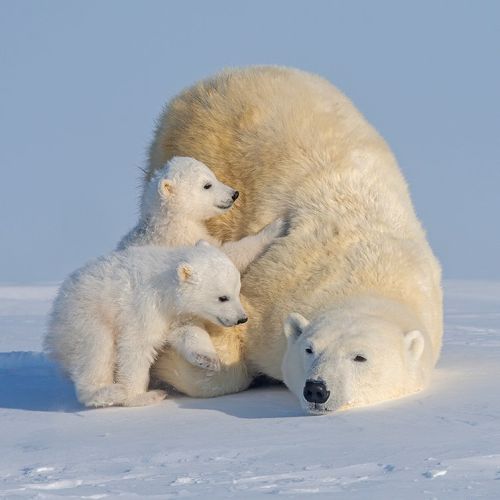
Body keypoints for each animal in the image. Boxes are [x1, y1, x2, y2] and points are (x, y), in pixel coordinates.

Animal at [44, 240, 247, 408]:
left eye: (237, 290)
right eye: (223, 297)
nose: (242, 318)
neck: (165, 290)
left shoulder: (176, 314)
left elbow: (188, 332)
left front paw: (209, 360)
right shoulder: (143, 309)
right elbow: (136, 347)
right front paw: (138, 396)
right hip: (87, 316)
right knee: (96, 350)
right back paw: (110, 392)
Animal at [115, 156, 284, 372]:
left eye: (212, 175)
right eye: (207, 185)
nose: (234, 194)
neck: (171, 221)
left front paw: (206, 358)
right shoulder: (181, 243)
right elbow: (227, 255)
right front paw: (276, 227)